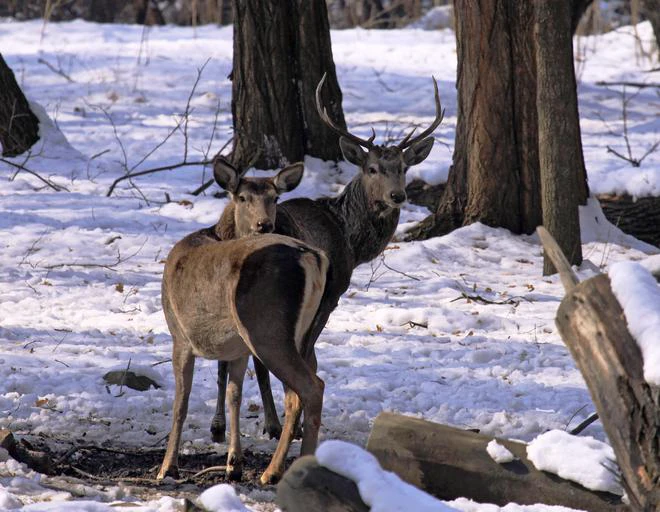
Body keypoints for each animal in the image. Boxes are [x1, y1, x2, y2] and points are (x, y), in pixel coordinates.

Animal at [157, 156, 328, 484]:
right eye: (242, 197)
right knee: (297, 393)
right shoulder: (237, 347)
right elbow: (233, 395)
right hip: (298, 334)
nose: (264, 224)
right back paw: (276, 469)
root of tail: (311, 256)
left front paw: (166, 467)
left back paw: (281, 471)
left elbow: (180, 402)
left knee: (312, 387)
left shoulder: (179, 335)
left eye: (275, 198)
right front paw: (232, 463)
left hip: (265, 328)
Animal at [211, 74, 446, 442]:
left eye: (404, 167)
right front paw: (300, 421)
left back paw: (222, 425)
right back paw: (270, 423)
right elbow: (311, 358)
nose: (398, 195)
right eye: (372, 168)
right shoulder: (332, 292)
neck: (348, 236)